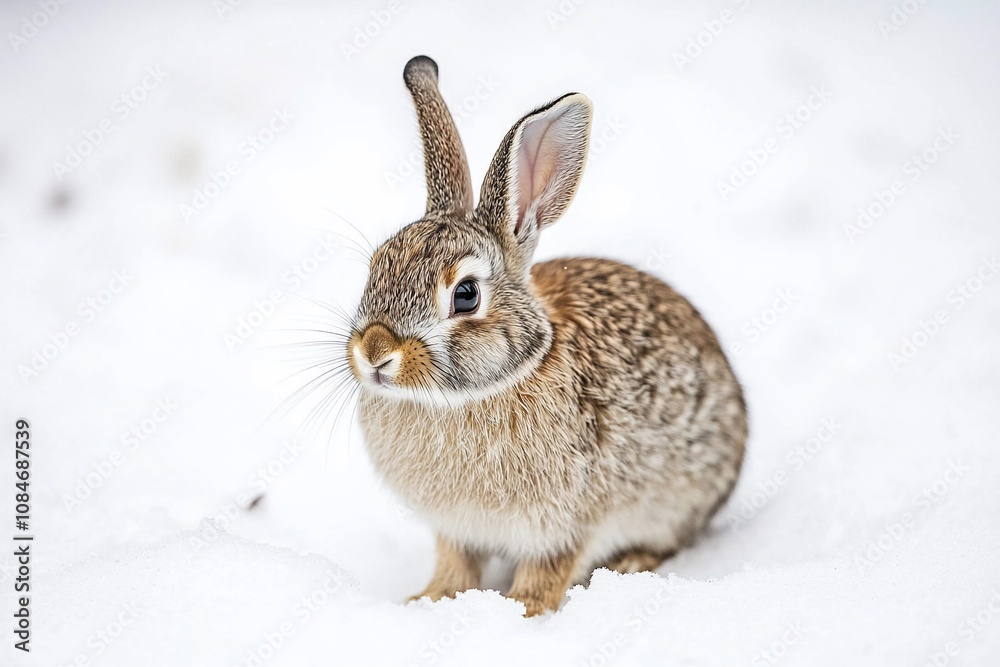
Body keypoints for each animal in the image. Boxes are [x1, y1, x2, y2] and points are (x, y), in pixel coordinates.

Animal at [345, 55, 747, 617]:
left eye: (465, 295)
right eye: (377, 265)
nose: (375, 351)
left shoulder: (566, 523)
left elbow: (548, 571)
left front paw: (524, 610)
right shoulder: (455, 530)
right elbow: (455, 565)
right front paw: (430, 599)